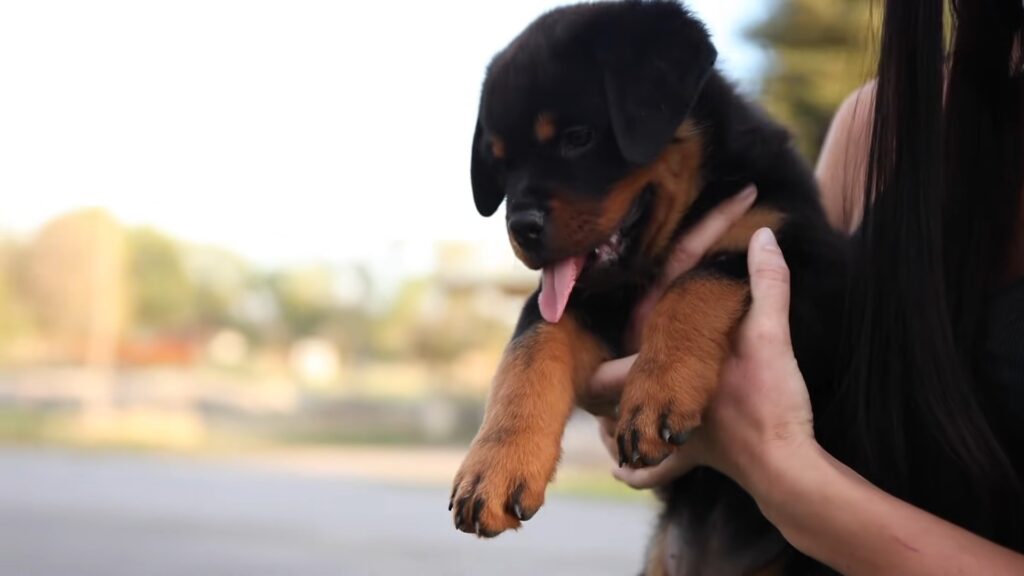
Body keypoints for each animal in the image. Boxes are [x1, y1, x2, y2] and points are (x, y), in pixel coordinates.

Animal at [454, 2, 847, 569]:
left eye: (578, 138)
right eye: (500, 162)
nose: (520, 226)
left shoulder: (797, 257)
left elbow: (697, 279)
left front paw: (658, 390)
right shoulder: (576, 298)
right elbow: (526, 352)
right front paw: (492, 468)